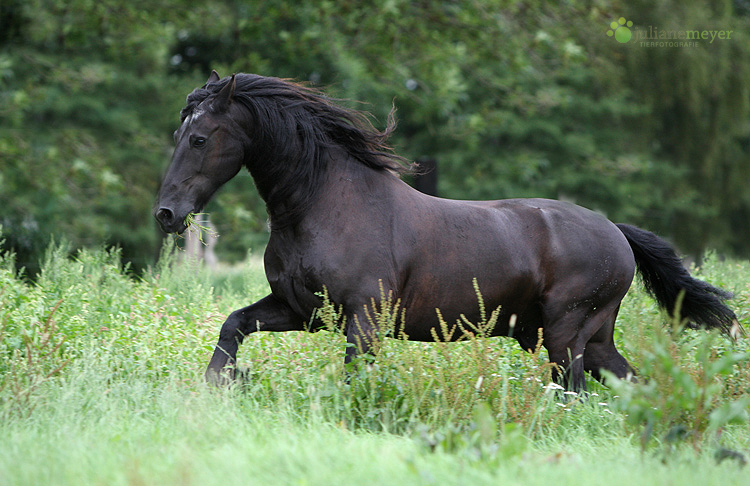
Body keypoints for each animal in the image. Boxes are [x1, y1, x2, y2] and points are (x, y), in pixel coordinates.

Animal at [153, 71, 740, 392]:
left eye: (200, 138)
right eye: (180, 134)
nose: (166, 214)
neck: (327, 204)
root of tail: (615, 232)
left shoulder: (363, 322)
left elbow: (355, 378)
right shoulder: (300, 310)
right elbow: (233, 325)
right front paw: (220, 384)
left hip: (566, 333)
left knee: (572, 390)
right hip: (591, 339)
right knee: (626, 382)